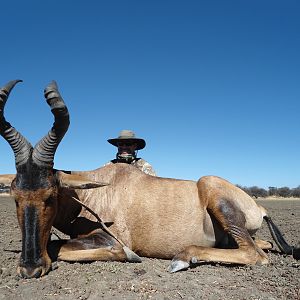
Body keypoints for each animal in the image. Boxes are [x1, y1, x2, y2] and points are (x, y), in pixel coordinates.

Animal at [0, 80, 298, 278]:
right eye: (15, 196)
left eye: (51, 195)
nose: (30, 268)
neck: (94, 190)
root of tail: (259, 207)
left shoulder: (110, 238)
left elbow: (59, 246)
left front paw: (129, 256)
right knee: (261, 245)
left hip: (211, 187)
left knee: (255, 255)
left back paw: (182, 258)